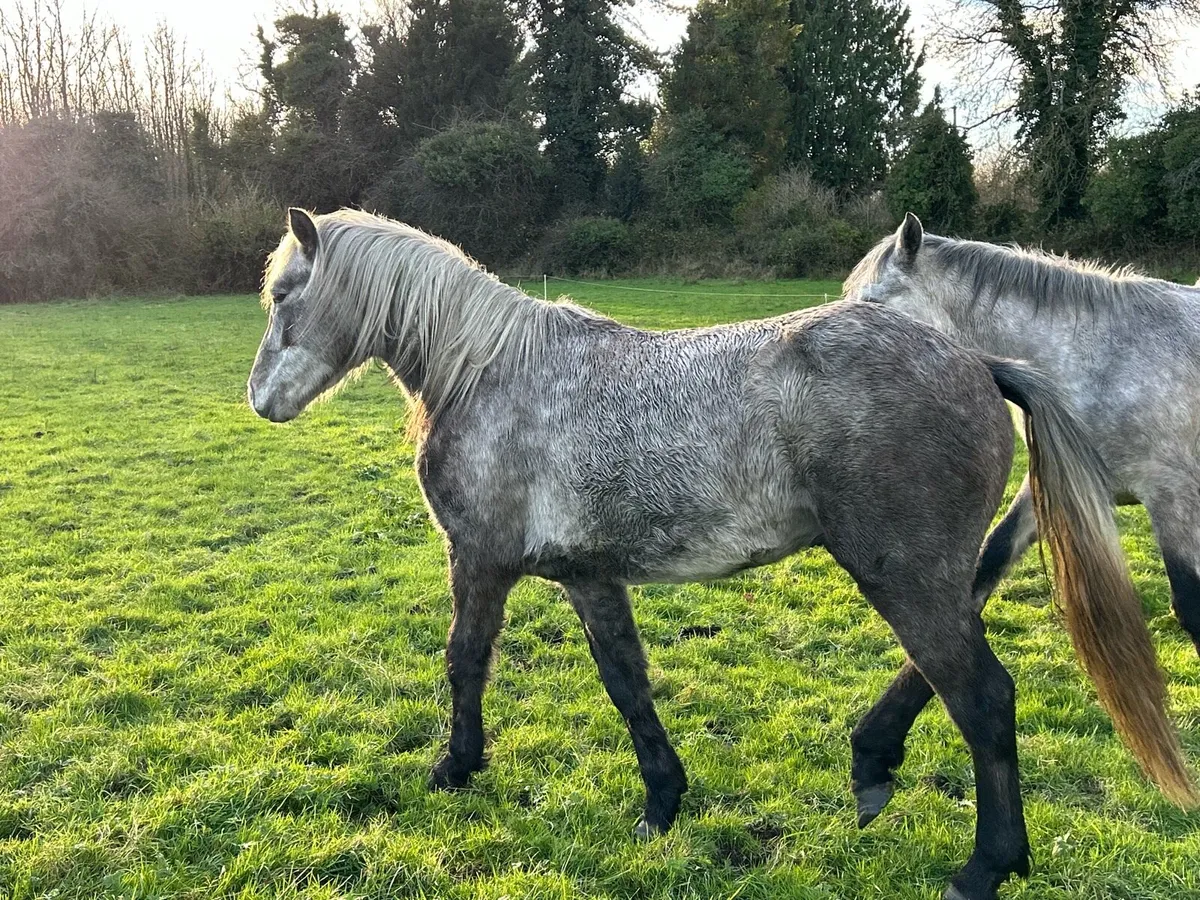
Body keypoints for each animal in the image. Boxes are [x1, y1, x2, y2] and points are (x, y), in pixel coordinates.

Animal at [247, 208, 1195, 900]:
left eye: (285, 295)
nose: (260, 399)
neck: (489, 372)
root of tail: (978, 359)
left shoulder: (479, 561)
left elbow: (465, 658)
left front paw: (455, 766)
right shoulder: (588, 576)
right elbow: (625, 681)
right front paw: (662, 802)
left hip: (908, 580)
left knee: (985, 699)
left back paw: (983, 865)